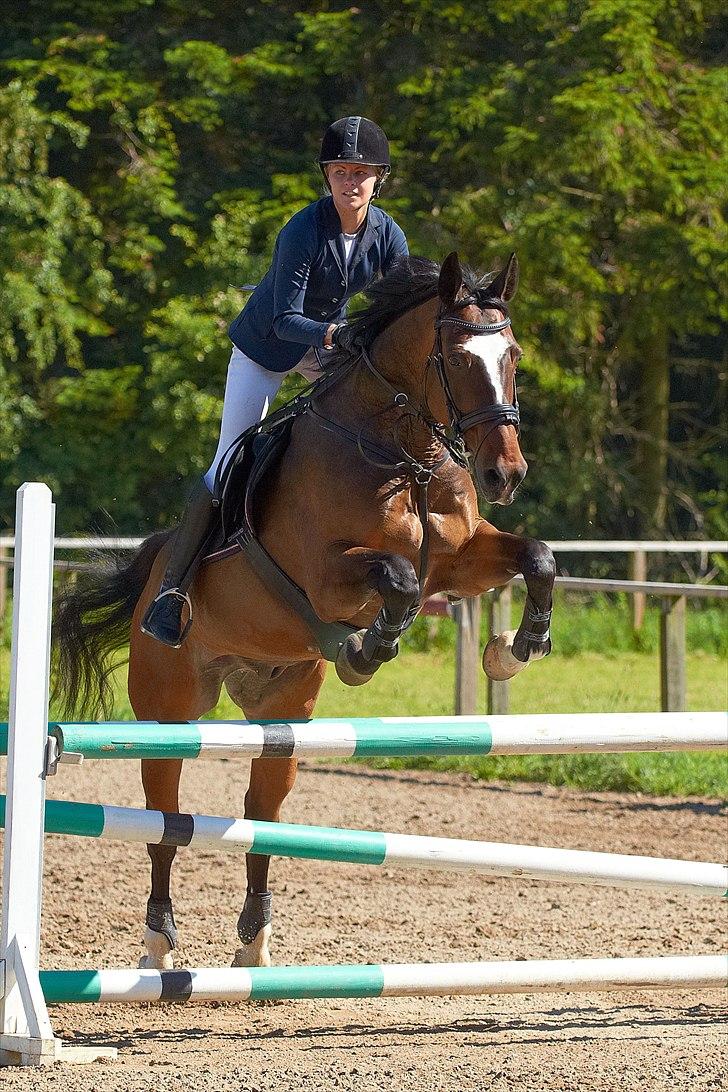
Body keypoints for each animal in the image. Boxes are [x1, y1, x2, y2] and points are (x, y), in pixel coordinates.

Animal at [52, 251, 558, 969]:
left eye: (512, 354)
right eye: (457, 357)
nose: (505, 475)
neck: (404, 455)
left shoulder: (461, 557)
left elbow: (536, 556)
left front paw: (514, 649)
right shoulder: (326, 576)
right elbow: (399, 578)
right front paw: (369, 650)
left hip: (284, 715)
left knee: (261, 815)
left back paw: (254, 945)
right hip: (168, 709)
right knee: (164, 822)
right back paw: (158, 945)